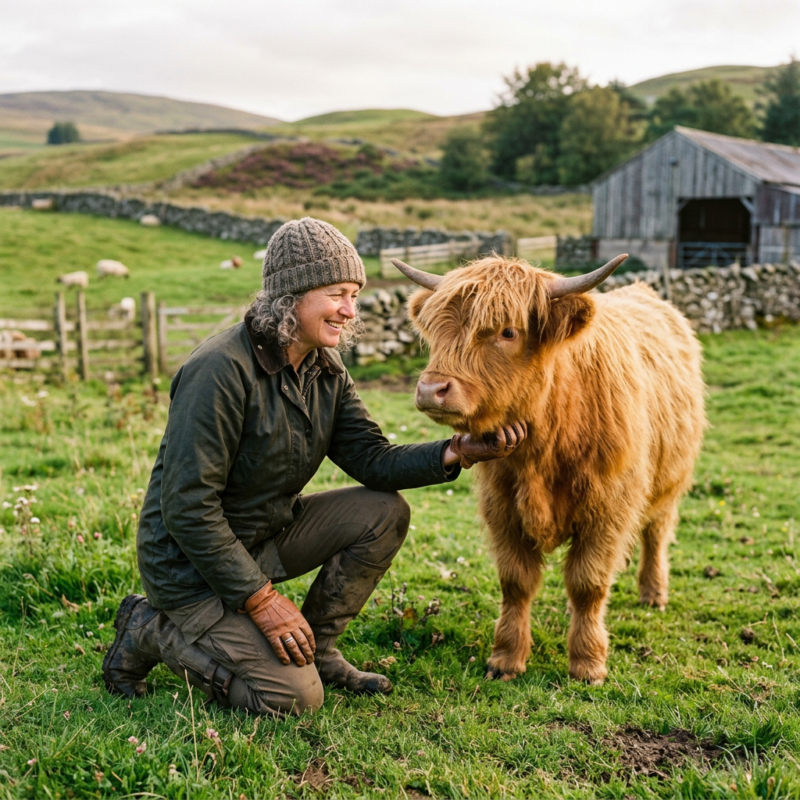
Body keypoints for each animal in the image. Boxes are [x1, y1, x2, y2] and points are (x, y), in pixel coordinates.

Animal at [392, 254, 705, 685]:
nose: (430, 389)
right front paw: (506, 658)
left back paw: (653, 593)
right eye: (437, 327)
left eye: (508, 331)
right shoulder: (502, 507)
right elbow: (516, 582)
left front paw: (588, 663)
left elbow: (588, 583)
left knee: (656, 534)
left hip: (669, 481)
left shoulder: (609, 509)